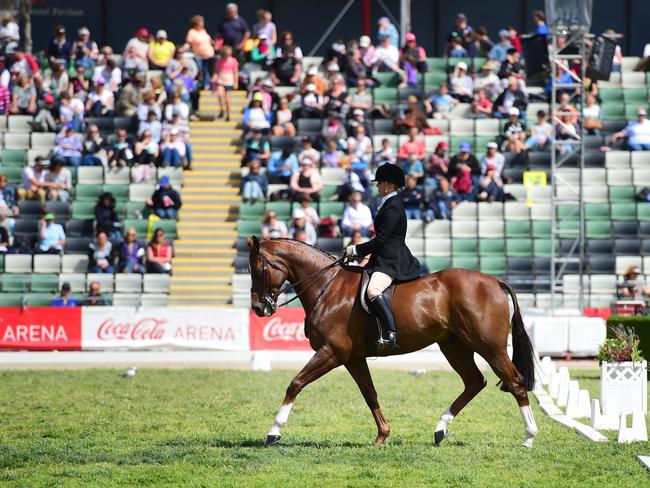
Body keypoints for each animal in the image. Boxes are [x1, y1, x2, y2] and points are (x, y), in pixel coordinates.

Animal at [248, 236, 536, 446]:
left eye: (259, 268)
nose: (259, 308)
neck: (328, 287)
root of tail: (495, 281)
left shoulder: (332, 352)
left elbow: (295, 384)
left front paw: (273, 432)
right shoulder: (353, 358)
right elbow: (369, 393)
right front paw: (382, 435)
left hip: (489, 346)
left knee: (515, 382)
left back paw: (529, 438)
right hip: (454, 346)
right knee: (475, 382)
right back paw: (440, 429)